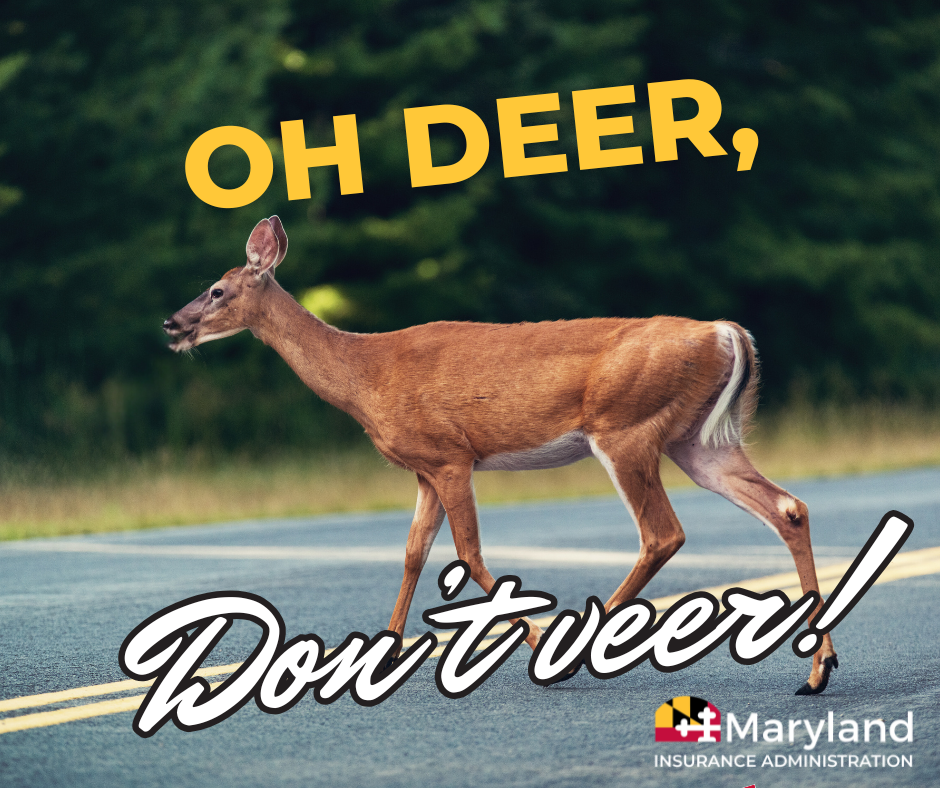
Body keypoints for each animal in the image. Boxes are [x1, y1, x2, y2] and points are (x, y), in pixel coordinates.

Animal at [163, 216, 838, 695]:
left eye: (216, 289)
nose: (172, 324)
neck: (366, 374)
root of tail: (725, 331)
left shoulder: (450, 456)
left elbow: (468, 554)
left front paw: (536, 641)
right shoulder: (423, 469)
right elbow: (412, 553)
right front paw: (382, 657)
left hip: (625, 427)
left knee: (662, 533)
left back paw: (574, 655)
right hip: (696, 439)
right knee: (787, 507)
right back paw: (817, 669)